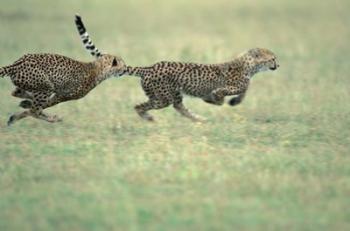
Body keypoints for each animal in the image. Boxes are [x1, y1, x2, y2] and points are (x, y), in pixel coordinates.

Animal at [74, 14, 278, 122]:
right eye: (273, 58)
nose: (278, 64)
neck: (249, 66)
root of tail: (149, 67)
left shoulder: (242, 84)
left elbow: (244, 91)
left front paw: (231, 101)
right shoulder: (231, 85)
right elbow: (228, 92)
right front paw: (218, 100)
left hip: (173, 95)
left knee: (179, 108)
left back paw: (199, 119)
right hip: (162, 98)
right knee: (140, 106)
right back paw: (149, 118)